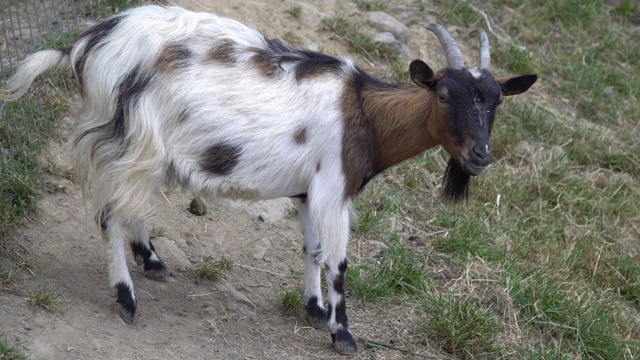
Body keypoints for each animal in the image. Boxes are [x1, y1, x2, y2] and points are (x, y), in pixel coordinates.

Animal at [1, 4, 536, 354]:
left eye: (497, 101)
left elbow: (313, 249)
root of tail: (85, 44)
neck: (363, 113)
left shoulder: (308, 190)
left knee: (129, 209)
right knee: (110, 216)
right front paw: (343, 334)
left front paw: (315, 310)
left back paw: (151, 260)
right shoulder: (334, 188)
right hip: (133, 140)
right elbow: (339, 262)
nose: (480, 156)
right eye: (444, 95)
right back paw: (126, 298)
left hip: (136, 149)